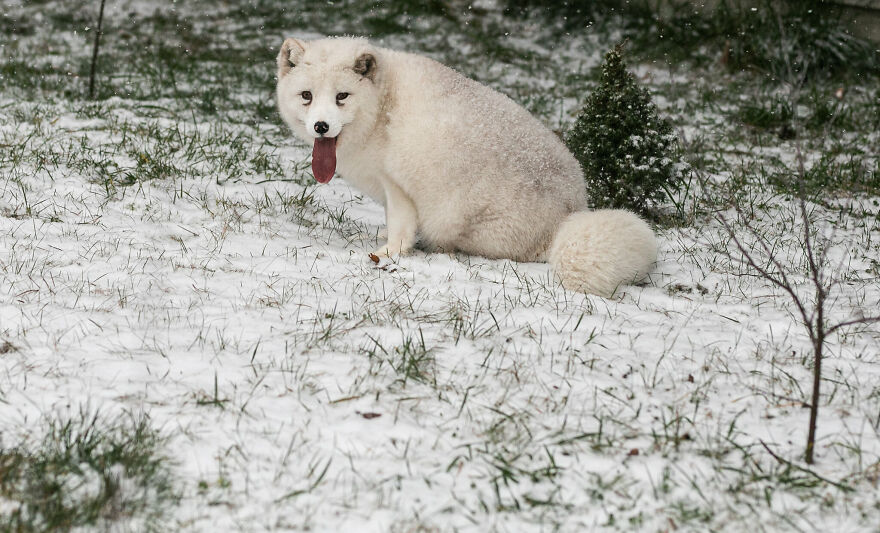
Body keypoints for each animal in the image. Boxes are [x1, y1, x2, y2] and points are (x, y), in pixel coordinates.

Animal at [275, 36, 657, 297]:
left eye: (342, 97)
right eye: (307, 96)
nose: (321, 126)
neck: (383, 106)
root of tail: (569, 215)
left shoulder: (396, 184)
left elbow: (400, 228)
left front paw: (386, 255)